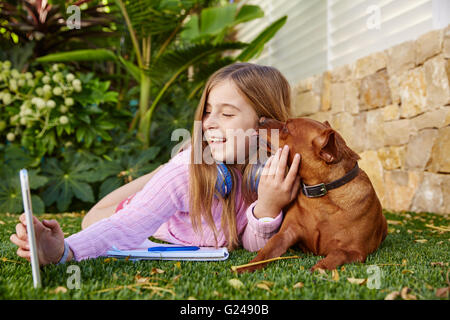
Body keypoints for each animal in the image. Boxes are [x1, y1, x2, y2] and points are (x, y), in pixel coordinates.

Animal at [239, 117, 386, 272]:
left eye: (286, 128)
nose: (261, 119)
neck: (321, 198)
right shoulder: (286, 234)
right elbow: (267, 249)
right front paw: (248, 266)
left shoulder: (356, 251)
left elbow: (338, 253)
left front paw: (319, 267)